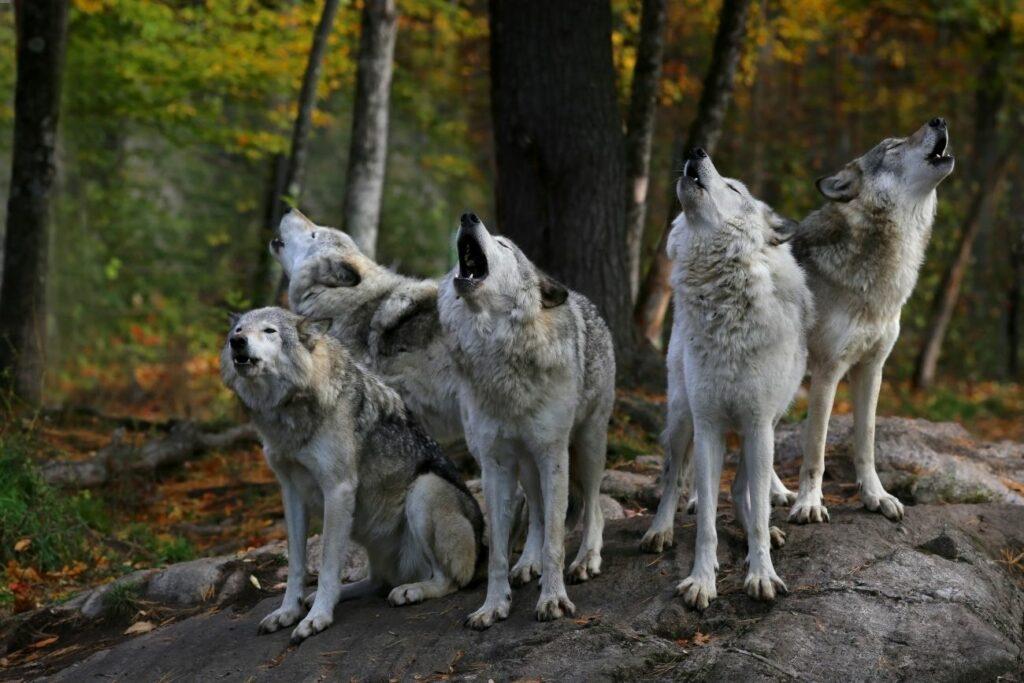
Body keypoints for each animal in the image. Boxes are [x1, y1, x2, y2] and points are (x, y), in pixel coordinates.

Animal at [220, 307, 483, 643]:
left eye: (269, 331)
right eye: (239, 329)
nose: (236, 342)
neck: (290, 411)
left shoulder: (338, 489)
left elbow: (327, 565)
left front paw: (317, 618)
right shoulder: (291, 492)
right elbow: (297, 565)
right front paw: (288, 611)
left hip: (424, 490)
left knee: (449, 580)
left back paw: (411, 590)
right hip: (368, 533)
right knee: (375, 581)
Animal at [438, 212, 615, 629]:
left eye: (504, 245)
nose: (468, 216)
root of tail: (586, 301)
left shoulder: (553, 455)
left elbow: (555, 541)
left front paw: (553, 600)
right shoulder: (494, 464)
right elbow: (500, 552)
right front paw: (493, 606)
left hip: (586, 447)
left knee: (594, 508)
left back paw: (586, 560)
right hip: (525, 466)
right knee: (536, 513)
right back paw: (527, 564)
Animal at [663, 149, 813, 610]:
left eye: (733, 188)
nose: (696, 151)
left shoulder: (758, 424)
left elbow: (759, 513)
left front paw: (761, 574)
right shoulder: (708, 425)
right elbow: (707, 523)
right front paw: (702, 580)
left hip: (764, 428)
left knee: (742, 488)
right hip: (682, 417)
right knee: (674, 477)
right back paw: (658, 530)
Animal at [788, 118, 955, 525]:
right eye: (892, 147)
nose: (939, 120)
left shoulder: (871, 368)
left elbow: (866, 441)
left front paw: (876, 497)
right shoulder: (829, 371)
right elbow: (815, 448)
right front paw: (809, 503)